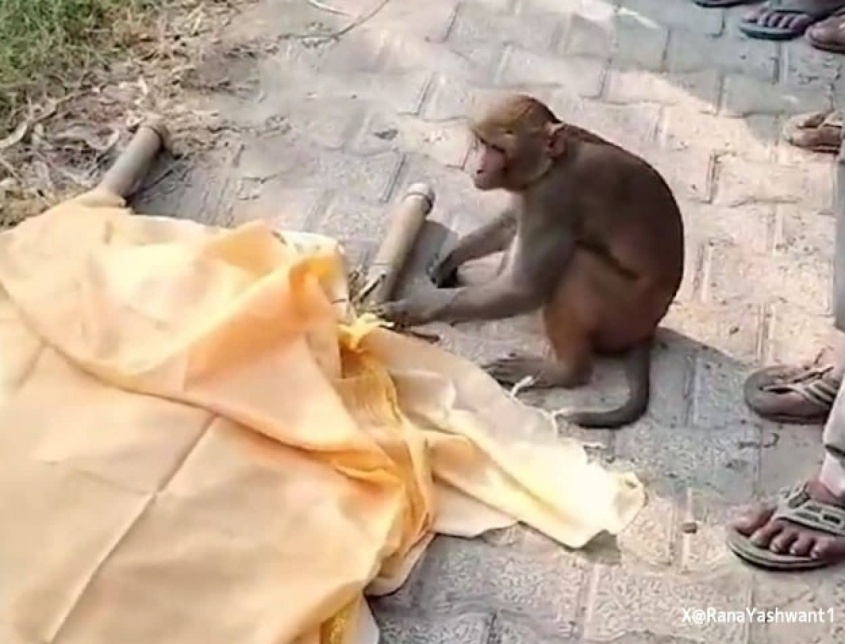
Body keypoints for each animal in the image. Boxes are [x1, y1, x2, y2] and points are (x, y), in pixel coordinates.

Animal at [374, 93, 685, 429]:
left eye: (498, 149)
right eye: (481, 143)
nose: (478, 168)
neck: (550, 165)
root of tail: (647, 328)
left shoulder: (553, 199)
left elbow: (524, 289)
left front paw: (412, 308)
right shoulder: (530, 193)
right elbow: (511, 222)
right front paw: (449, 259)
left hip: (624, 315)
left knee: (576, 267)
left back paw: (565, 370)